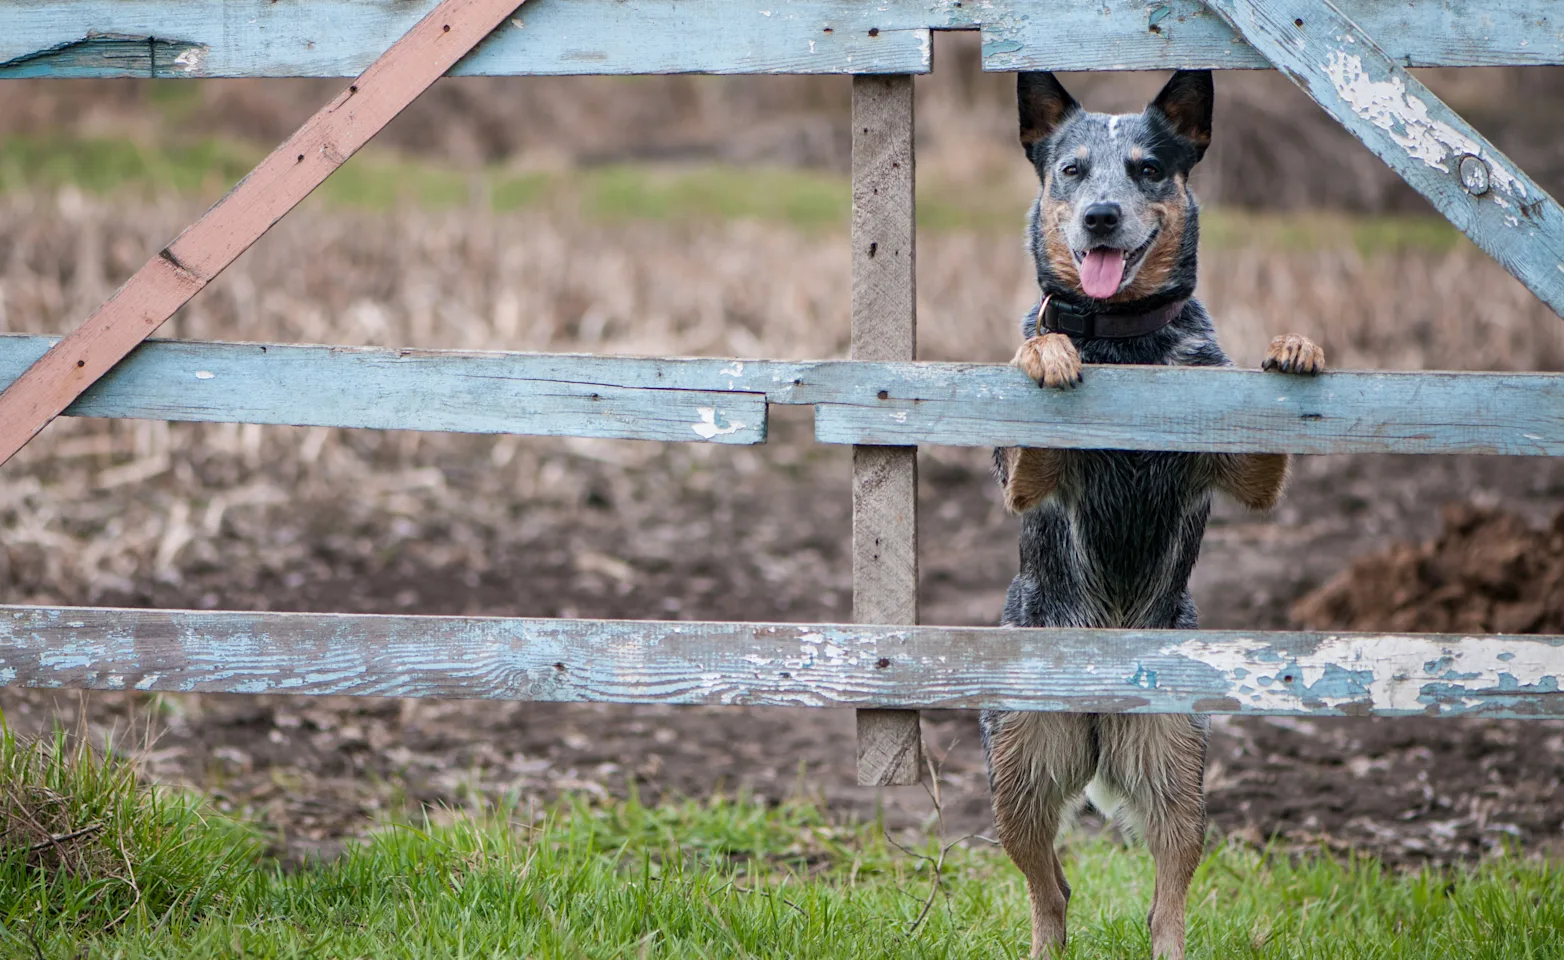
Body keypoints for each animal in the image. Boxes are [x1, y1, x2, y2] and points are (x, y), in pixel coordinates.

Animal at [982, 69, 1326, 960]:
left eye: (1146, 169)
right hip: (1019, 764)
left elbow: (1263, 450)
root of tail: (1103, 705)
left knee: (1165, 898)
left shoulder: (1238, 470)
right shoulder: (1023, 480)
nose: (1102, 215)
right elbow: (1036, 375)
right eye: (1072, 170)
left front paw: (1297, 346)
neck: (1125, 344)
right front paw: (1048, 351)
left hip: (1176, 760)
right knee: (1051, 890)